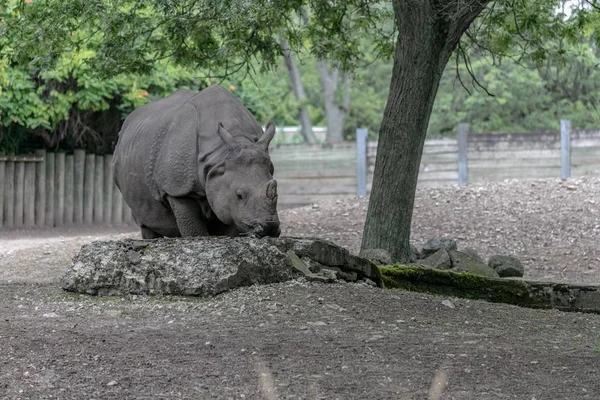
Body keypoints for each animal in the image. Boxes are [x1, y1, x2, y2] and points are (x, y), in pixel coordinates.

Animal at [112, 84, 282, 239]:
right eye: (239, 195)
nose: (270, 228)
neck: (220, 155)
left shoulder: (231, 203)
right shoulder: (177, 188)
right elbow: (193, 230)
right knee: (146, 221)